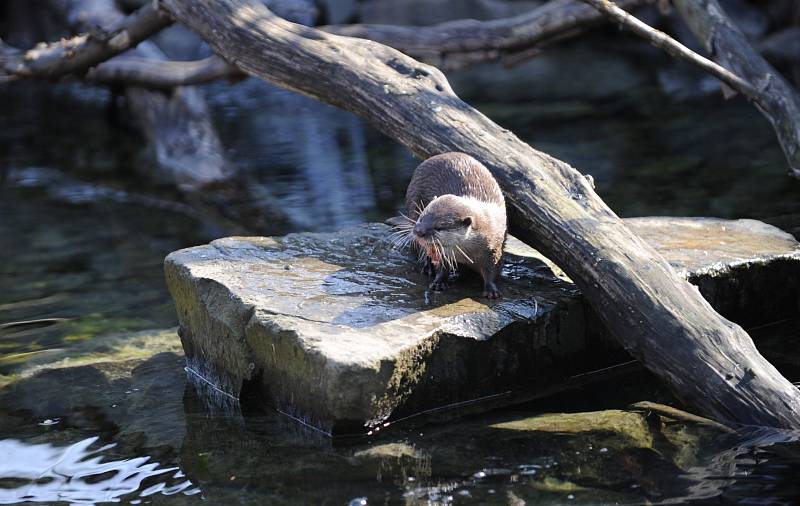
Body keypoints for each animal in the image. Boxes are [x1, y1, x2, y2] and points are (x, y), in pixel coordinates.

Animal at [388, 152, 506, 298]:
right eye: (421, 218)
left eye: (439, 227)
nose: (418, 231)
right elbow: (442, 267)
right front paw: (438, 282)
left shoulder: (495, 248)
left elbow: (492, 272)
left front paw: (491, 290)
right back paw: (428, 267)